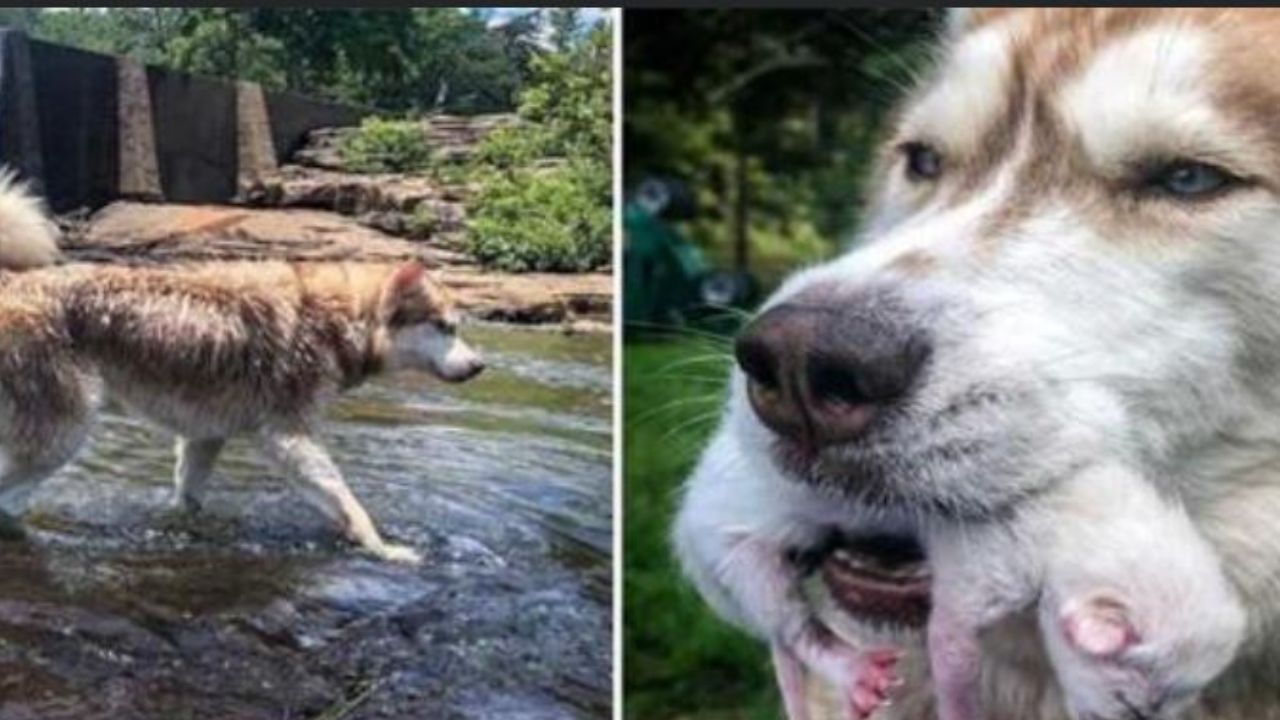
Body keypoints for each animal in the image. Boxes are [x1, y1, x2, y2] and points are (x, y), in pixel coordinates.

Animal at [0, 172, 483, 561]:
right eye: (445, 326)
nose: (480, 365)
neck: (336, 319)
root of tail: (13, 282)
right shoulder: (288, 437)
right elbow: (347, 501)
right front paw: (383, 548)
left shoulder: (205, 435)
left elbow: (189, 497)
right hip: (62, 435)